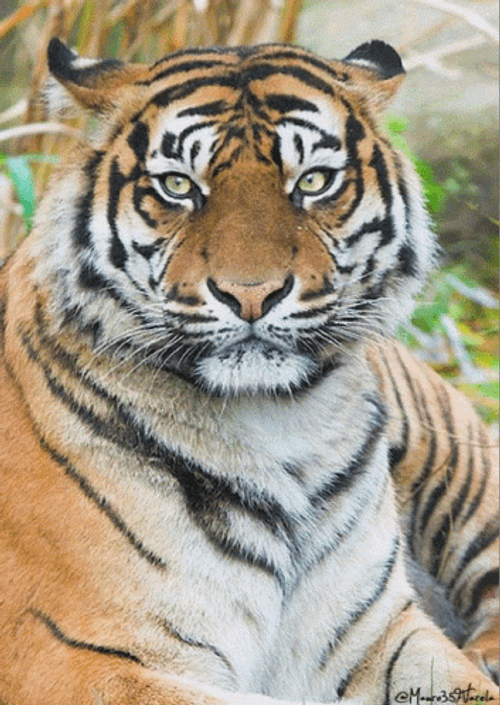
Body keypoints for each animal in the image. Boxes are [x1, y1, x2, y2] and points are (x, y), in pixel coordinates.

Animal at [0, 36, 498, 705]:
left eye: (312, 181)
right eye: (178, 186)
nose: (252, 294)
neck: (283, 422)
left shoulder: (377, 632)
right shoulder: (75, 656)